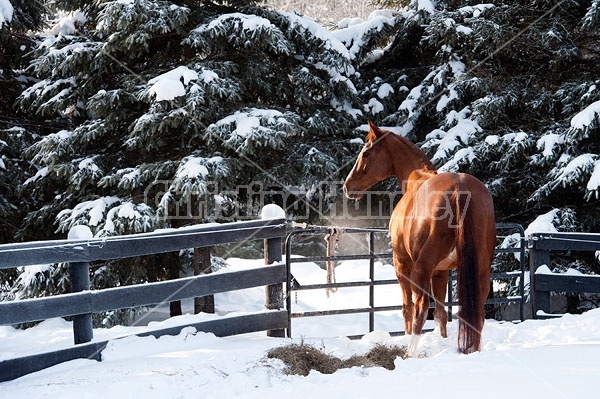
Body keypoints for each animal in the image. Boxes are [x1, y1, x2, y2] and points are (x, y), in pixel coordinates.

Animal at [344, 122, 494, 356]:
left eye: (366, 153)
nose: (348, 186)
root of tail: (459, 189)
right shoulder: (441, 271)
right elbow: (441, 313)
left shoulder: (402, 265)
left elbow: (408, 308)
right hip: (481, 270)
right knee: (477, 311)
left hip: (420, 270)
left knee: (420, 308)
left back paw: (410, 352)